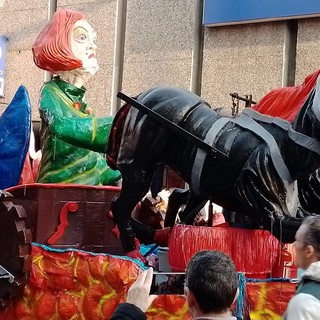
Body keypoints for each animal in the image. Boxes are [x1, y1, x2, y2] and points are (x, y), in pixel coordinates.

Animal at [107, 84, 320, 260]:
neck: (289, 151)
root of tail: (142, 95)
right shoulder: (269, 212)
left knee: (177, 204)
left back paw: (163, 234)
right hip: (139, 166)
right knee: (120, 205)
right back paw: (135, 251)